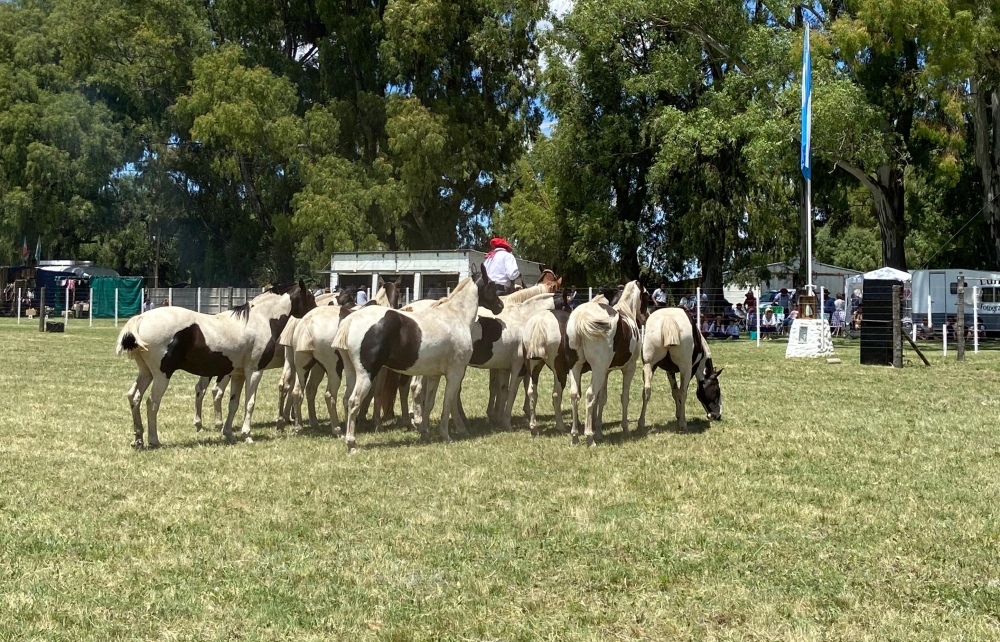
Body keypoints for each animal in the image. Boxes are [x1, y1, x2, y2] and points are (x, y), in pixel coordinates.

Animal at [110, 278, 312, 448]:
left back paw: (138, 438)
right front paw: (247, 435)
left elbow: (234, 403)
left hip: (147, 373)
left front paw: (228, 433)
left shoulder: (238, 374)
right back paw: (154, 440)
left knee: (134, 397)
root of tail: (140, 319)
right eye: (309, 296)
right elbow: (250, 403)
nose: (315, 311)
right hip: (162, 375)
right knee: (152, 403)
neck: (261, 318)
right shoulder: (254, 371)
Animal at [334, 266, 504, 450]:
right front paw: (446, 435)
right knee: (354, 401)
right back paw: (351, 442)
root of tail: (351, 320)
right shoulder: (455, 374)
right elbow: (447, 402)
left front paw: (424, 432)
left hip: (352, 373)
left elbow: (429, 403)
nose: (500, 306)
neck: (455, 316)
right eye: (492, 285)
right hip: (366, 375)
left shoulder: (434, 375)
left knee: (346, 399)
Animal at [564, 280, 648, 444]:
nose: (647, 316)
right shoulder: (629, 368)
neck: (626, 311)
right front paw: (625, 429)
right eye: (646, 294)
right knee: (590, 395)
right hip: (598, 369)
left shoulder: (606, 372)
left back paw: (575, 436)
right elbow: (624, 397)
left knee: (575, 395)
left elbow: (601, 399)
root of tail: (581, 317)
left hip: (577, 367)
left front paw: (599, 431)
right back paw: (589, 437)